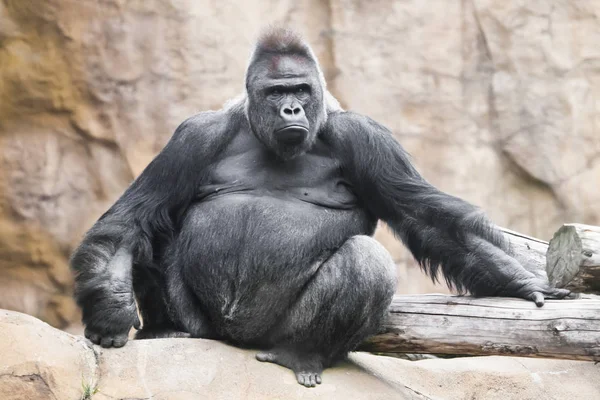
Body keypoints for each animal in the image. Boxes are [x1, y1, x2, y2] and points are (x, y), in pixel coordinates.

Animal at [69, 28, 568, 388]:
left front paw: (521, 282)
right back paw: (170, 330)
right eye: (276, 92)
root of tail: (236, 339)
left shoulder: (367, 138)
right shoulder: (194, 135)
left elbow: (432, 222)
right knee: (156, 231)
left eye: (301, 89)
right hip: (208, 327)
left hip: (272, 334)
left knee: (364, 263)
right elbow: (130, 222)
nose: (291, 109)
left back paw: (301, 354)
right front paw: (111, 312)